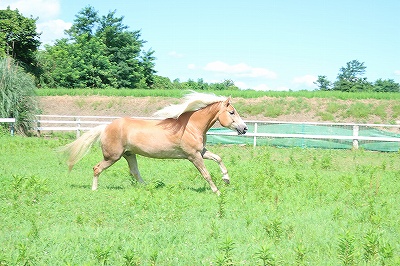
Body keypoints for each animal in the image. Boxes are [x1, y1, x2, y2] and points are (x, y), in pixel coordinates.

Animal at [61, 92, 247, 195]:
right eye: (232, 112)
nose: (244, 128)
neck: (191, 126)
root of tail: (106, 127)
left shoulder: (201, 151)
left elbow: (218, 158)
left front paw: (226, 179)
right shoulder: (193, 156)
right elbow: (206, 174)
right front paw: (217, 191)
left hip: (129, 154)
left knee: (135, 172)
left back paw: (147, 187)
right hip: (112, 156)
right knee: (97, 168)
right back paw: (94, 189)